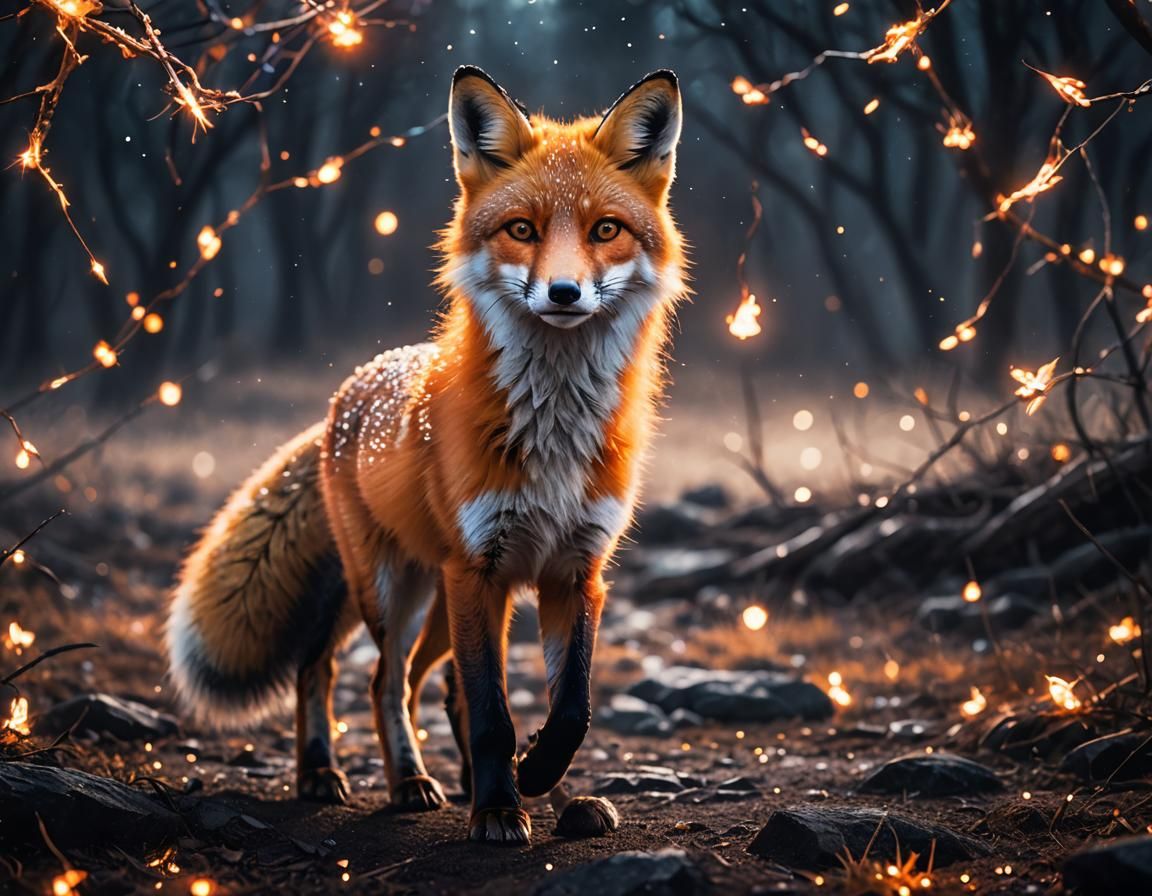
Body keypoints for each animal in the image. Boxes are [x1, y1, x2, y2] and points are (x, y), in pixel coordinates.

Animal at [166, 65, 687, 845]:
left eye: (605, 229)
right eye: (522, 229)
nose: (565, 292)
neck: (554, 433)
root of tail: (345, 395)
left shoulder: (576, 571)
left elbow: (571, 708)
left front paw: (538, 778)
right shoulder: (480, 569)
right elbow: (495, 714)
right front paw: (500, 808)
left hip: (439, 601)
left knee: (421, 684)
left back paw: (452, 779)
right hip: (391, 590)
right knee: (353, 675)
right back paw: (365, 776)